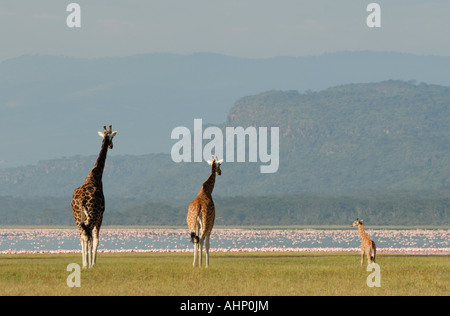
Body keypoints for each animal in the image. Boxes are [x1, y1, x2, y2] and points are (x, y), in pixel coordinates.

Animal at [71, 124, 117, 268]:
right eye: (112, 136)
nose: (111, 146)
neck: (95, 175)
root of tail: (80, 200)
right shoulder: (100, 215)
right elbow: (96, 240)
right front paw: (93, 264)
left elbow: (90, 239)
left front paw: (89, 262)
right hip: (91, 215)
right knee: (87, 235)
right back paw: (87, 264)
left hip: (77, 216)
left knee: (82, 235)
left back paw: (84, 263)